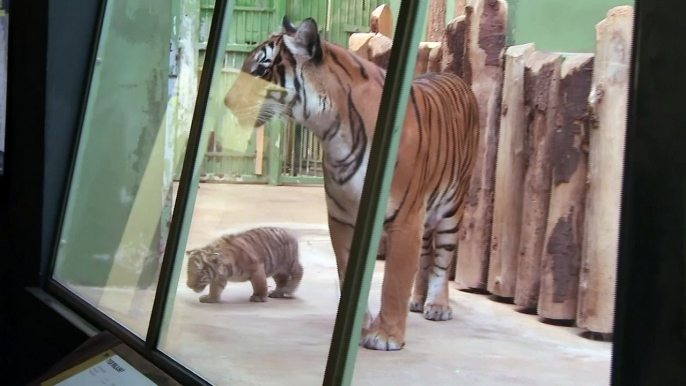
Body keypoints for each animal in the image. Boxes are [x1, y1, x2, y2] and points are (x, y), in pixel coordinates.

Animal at [223, 17, 482, 350]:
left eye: (261, 67)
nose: (227, 101)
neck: (332, 130)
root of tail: (455, 76)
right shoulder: (343, 218)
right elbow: (346, 270)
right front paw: (358, 327)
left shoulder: (405, 219)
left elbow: (394, 280)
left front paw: (386, 335)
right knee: (426, 252)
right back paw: (418, 300)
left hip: (452, 206)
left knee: (442, 257)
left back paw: (437, 306)